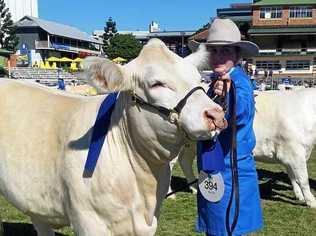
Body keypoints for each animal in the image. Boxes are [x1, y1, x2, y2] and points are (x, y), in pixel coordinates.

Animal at [178, 88, 316, 208]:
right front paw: (311, 201)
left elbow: (293, 177)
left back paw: (194, 187)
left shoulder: (291, 153)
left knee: (184, 160)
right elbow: (303, 179)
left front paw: (300, 196)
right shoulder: (293, 152)